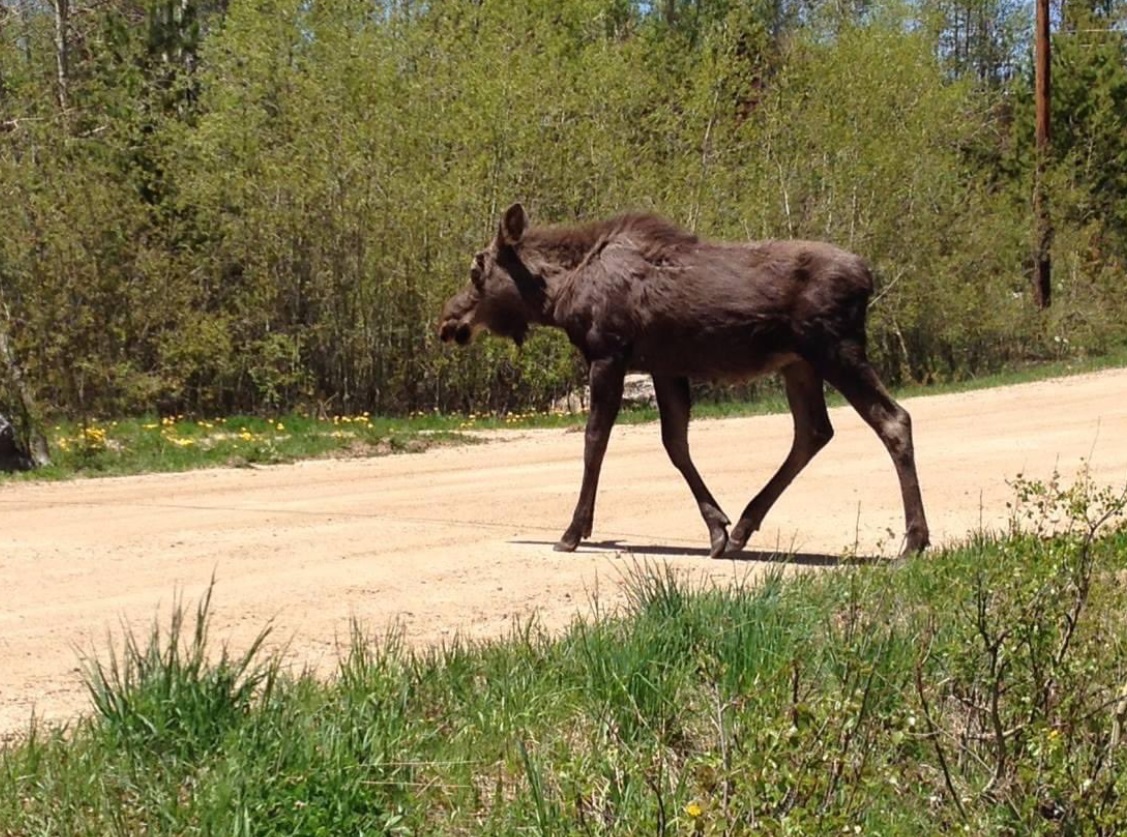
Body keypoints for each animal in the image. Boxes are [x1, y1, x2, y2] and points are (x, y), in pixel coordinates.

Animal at [435, 202, 928, 558]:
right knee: (813, 431)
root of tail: (869, 278)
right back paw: (744, 527)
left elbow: (595, 440)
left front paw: (573, 531)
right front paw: (717, 528)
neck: (558, 295)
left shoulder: (608, 353)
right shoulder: (664, 364)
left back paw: (915, 543)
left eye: (477, 269)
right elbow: (675, 443)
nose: (447, 320)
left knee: (893, 419)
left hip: (834, 349)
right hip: (798, 364)